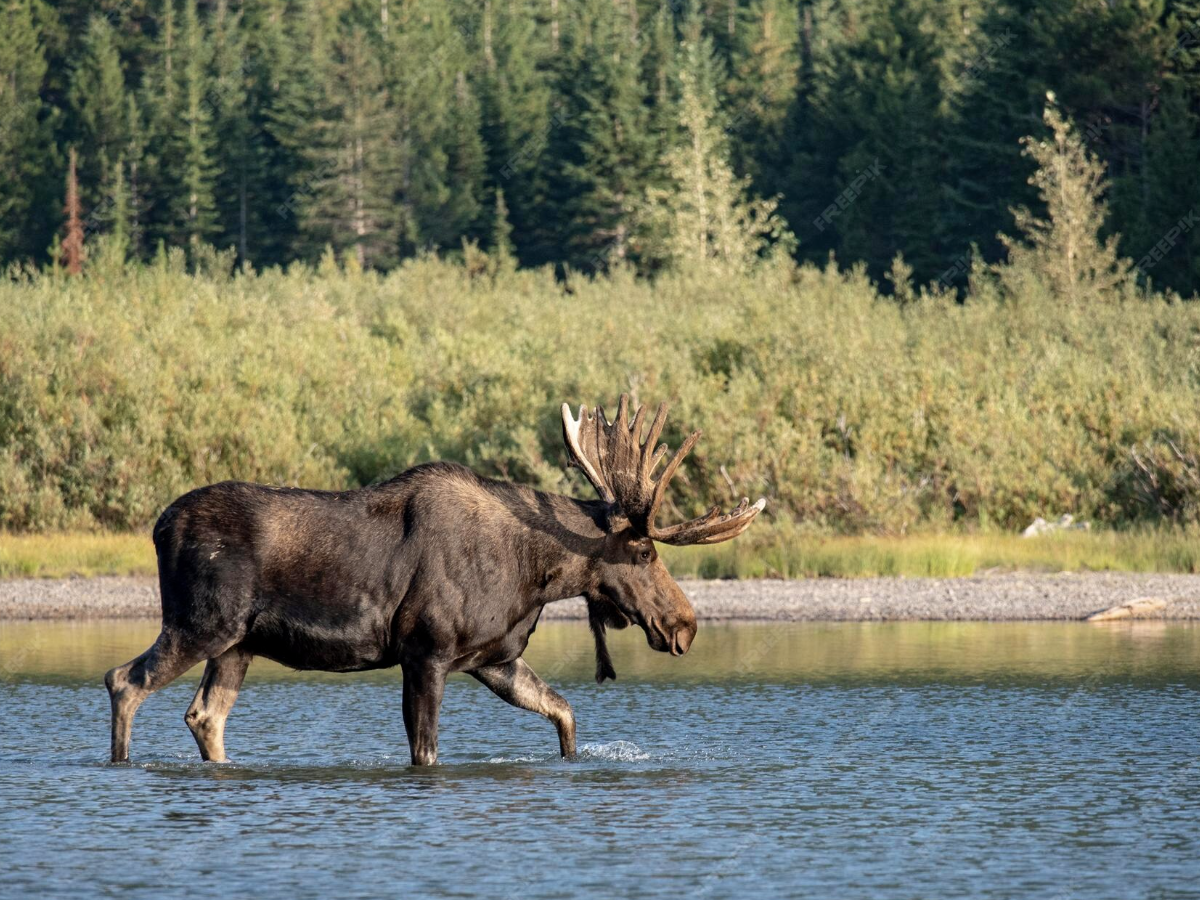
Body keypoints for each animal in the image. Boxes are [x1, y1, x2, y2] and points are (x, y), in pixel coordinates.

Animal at [105, 396, 765, 765]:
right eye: (646, 550)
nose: (686, 625)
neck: (535, 576)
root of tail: (158, 527)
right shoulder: (426, 651)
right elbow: (425, 752)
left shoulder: (493, 658)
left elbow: (564, 713)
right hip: (200, 623)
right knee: (123, 680)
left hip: (238, 644)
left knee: (204, 715)